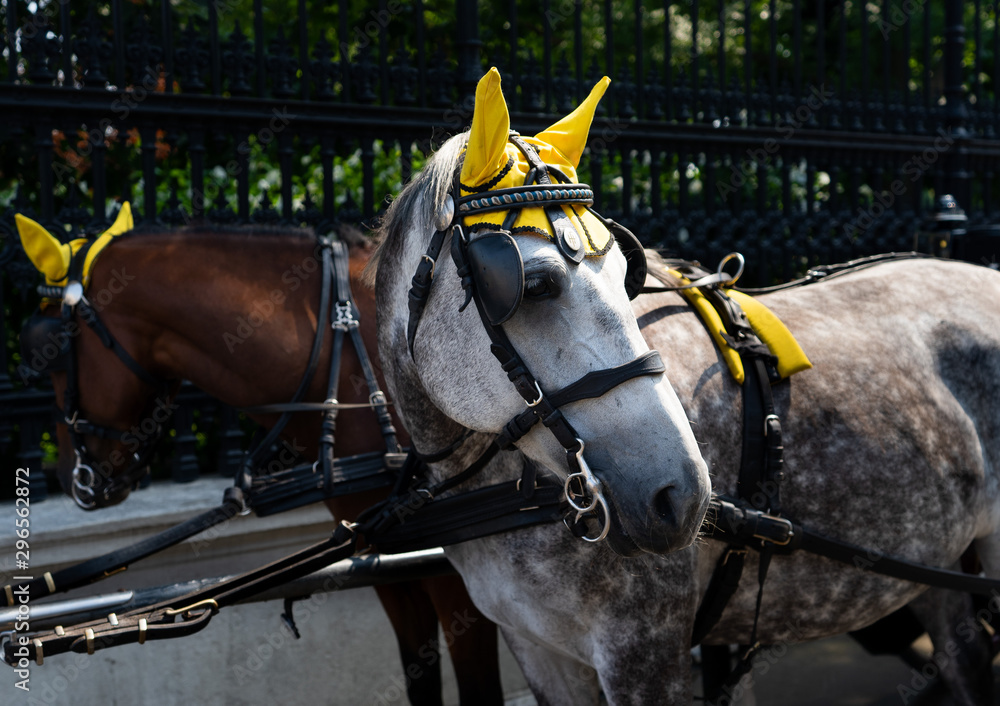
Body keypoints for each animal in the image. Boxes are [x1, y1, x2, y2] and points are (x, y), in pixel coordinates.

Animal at [14, 216, 503, 706]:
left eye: (52, 353)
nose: (71, 477)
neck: (347, 355)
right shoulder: (391, 567)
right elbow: (420, 678)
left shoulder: (458, 577)